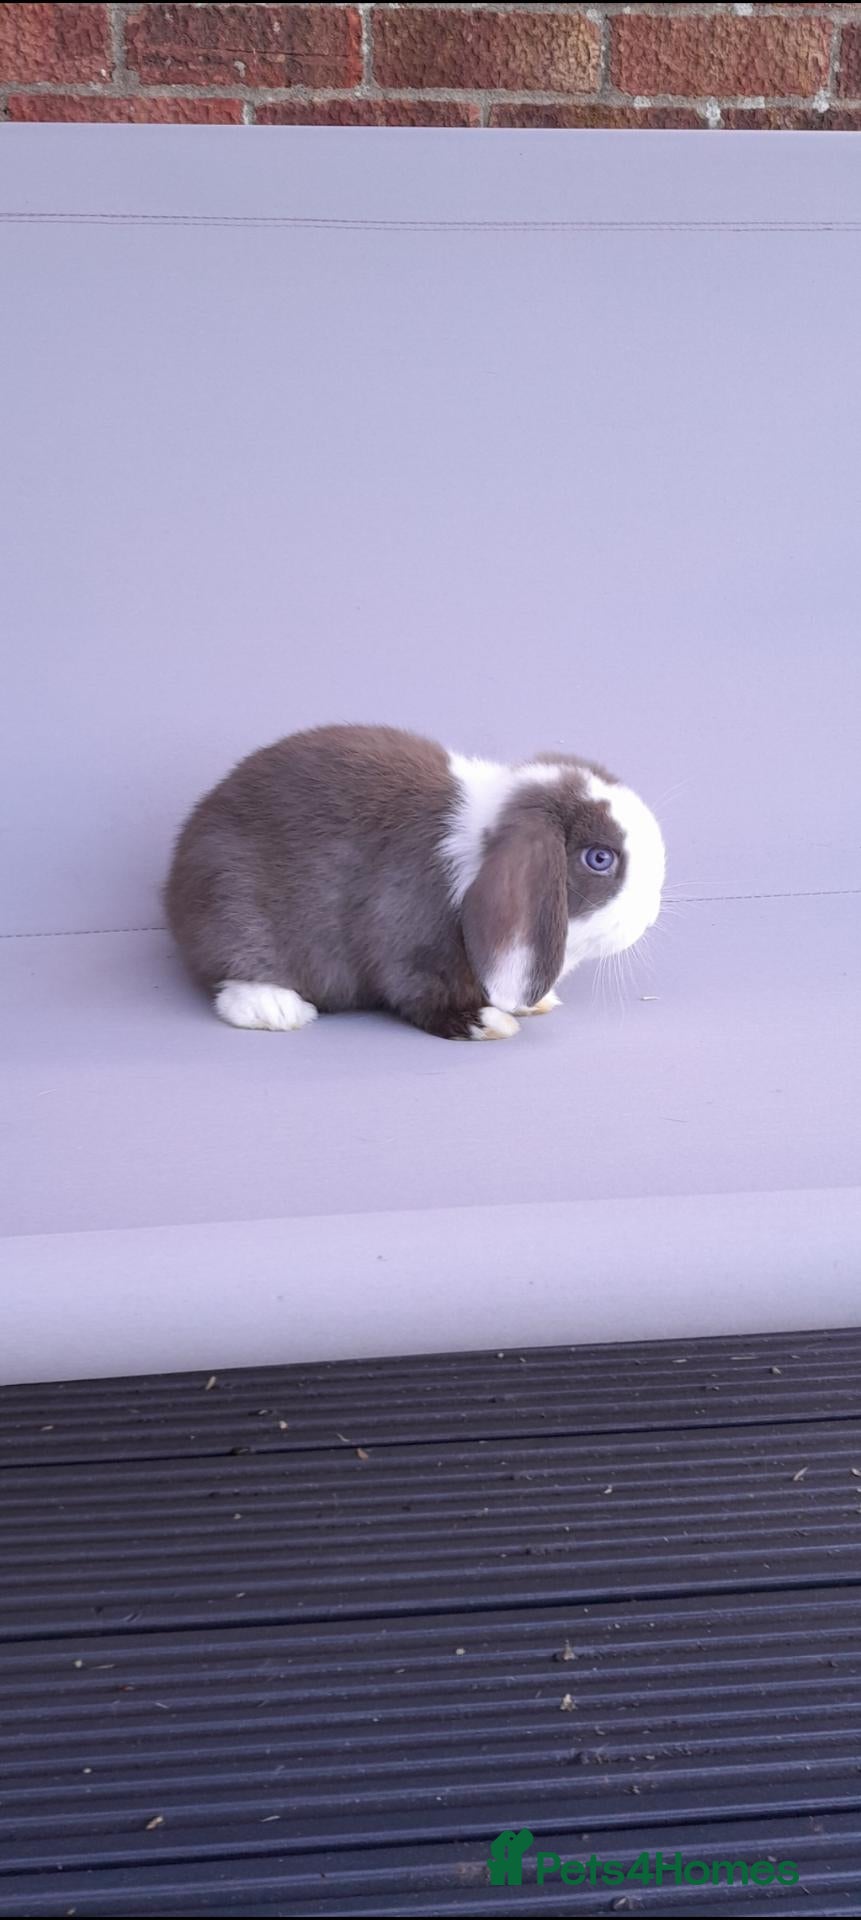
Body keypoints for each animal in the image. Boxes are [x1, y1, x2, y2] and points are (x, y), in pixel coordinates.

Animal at [164, 724, 665, 1041]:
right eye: (599, 859)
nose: (652, 912)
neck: (480, 856)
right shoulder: (411, 948)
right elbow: (425, 997)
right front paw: (488, 1024)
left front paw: (536, 1003)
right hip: (233, 912)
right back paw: (278, 1009)